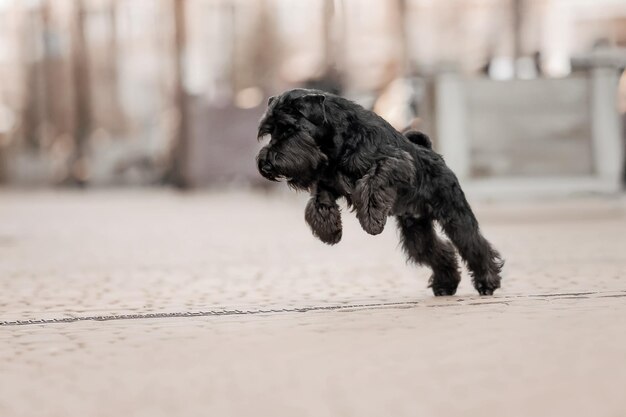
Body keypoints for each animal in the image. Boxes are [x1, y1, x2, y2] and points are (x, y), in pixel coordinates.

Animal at [254, 88, 502, 296]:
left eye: (289, 128)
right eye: (270, 131)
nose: (266, 163)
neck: (337, 140)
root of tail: (435, 155)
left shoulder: (396, 162)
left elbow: (373, 180)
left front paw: (372, 220)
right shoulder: (328, 181)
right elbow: (317, 202)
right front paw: (329, 230)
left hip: (455, 216)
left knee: (474, 245)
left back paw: (487, 282)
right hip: (416, 229)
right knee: (438, 250)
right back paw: (445, 285)